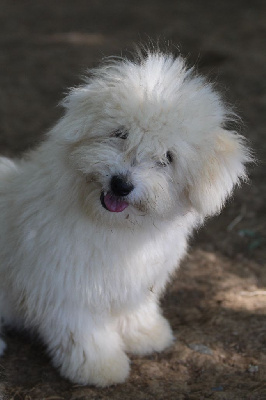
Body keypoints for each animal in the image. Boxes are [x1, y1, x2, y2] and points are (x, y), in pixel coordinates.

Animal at [0, 50, 250, 388]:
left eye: (168, 157)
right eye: (120, 133)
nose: (121, 184)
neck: (114, 228)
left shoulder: (136, 281)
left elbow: (134, 310)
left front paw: (146, 334)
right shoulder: (67, 289)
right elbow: (83, 333)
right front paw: (100, 367)